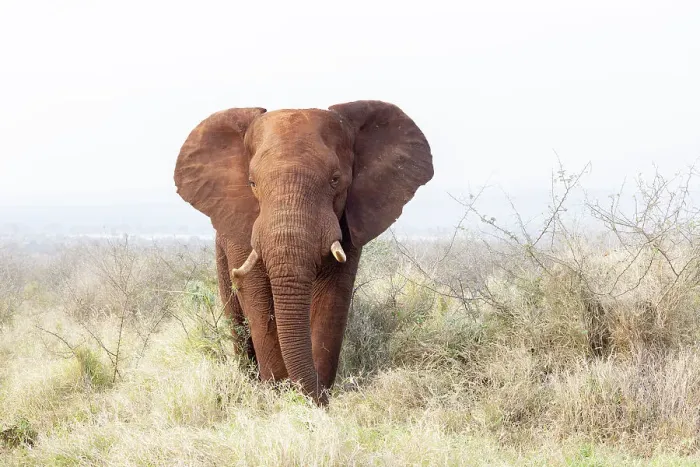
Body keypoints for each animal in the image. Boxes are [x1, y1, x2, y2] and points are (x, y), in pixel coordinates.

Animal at [173, 100, 433, 405]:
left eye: (335, 180)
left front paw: (314, 403)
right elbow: (257, 296)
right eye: (252, 184)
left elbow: (332, 297)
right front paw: (277, 397)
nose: (314, 393)